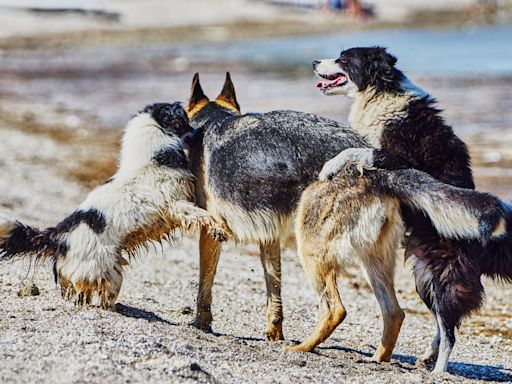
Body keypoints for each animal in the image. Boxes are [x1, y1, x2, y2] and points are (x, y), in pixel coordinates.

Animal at [0, 103, 226, 310]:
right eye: (183, 122)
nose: (199, 132)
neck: (152, 158)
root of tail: (60, 235)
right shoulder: (177, 205)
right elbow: (202, 214)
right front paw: (218, 229)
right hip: (105, 270)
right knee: (100, 294)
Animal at [312, 47, 512, 372]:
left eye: (344, 58)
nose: (314, 62)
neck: (380, 92)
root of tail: (483, 247)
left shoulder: (398, 156)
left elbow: (357, 150)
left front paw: (330, 165)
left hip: (445, 279)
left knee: (450, 332)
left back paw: (439, 371)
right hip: (424, 278)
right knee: (444, 325)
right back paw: (428, 356)